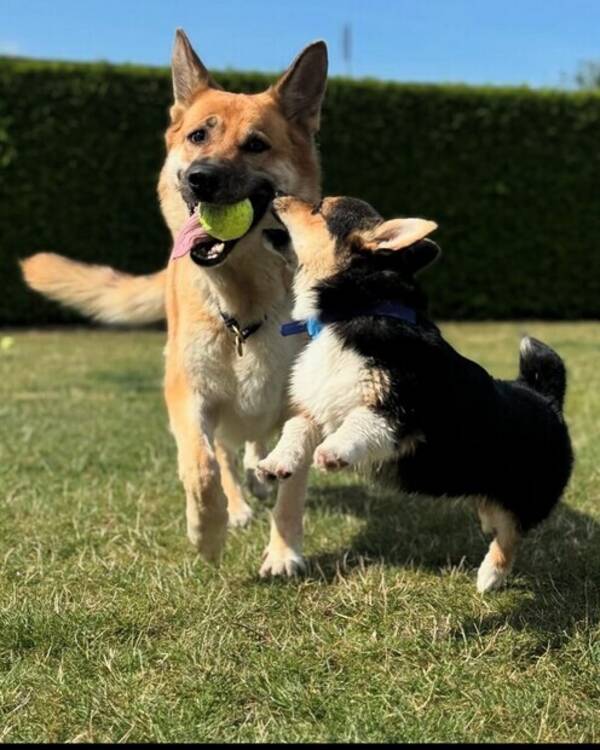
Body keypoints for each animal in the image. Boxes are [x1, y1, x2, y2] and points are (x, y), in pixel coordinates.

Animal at [22, 30, 328, 576]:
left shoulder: (300, 405)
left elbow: (292, 485)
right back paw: (239, 504)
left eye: (256, 144)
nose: (200, 178)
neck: (244, 302)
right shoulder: (189, 396)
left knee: (255, 445)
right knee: (225, 454)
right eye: (198, 136)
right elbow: (201, 468)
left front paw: (283, 551)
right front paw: (208, 533)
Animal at [256, 194, 572, 592]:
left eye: (319, 208)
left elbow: (359, 423)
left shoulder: (398, 411)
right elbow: (294, 429)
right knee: (495, 517)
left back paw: (490, 576)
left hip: (523, 496)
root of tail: (547, 400)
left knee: (511, 535)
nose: (273, 193)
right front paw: (275, 463)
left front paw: (333, 452)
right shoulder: (318, 408)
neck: (357, 310)